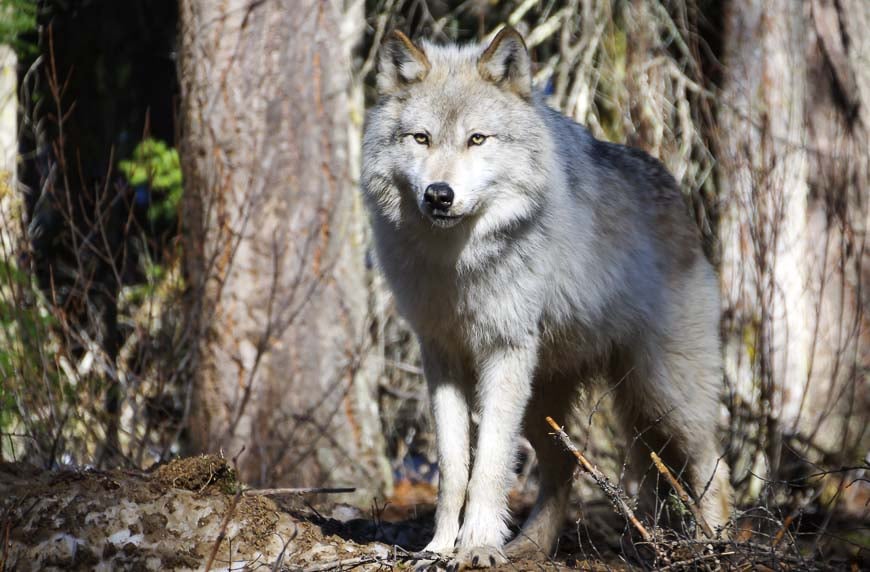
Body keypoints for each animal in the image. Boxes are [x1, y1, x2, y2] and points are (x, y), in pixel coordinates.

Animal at [362, 25, 736, 568]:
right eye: (421, 138)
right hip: (549, 404)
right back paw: (532, 547)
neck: (458, 264)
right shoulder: (440, 357)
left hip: (664, 394)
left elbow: (489, 464)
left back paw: (716, 546)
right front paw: (438, 548)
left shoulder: (505, 352)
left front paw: (476, 548)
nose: (438, 195)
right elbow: (454, 469)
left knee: (714, 463)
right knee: (566, 473)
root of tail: (678, 193)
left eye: (477, 139)